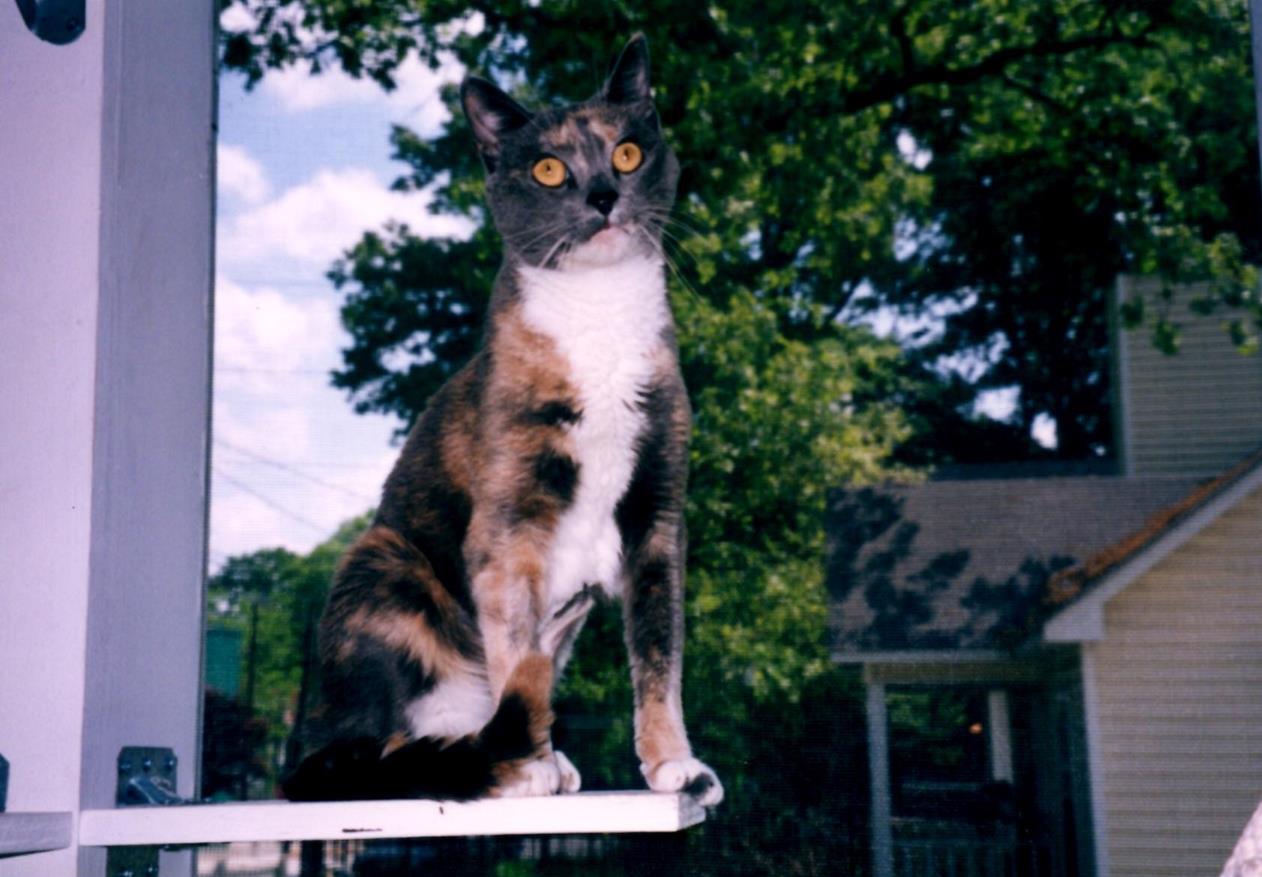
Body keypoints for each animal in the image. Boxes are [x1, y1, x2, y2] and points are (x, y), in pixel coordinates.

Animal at [282, 34, 726, 807]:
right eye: (548, 168)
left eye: (628, 153)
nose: (602, 196)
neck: (601, 322)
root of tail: (304, 745)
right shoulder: (509, 524)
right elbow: (516, 644)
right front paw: (532, 765)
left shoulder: (659, 515)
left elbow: (659, 655)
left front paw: (675, 763)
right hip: (381, 562)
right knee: (372, 749)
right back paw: (494, 760)